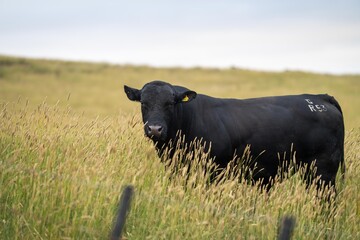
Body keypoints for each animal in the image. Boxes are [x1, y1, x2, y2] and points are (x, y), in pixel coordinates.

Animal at [124, 80, 346, 193]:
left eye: (170, 104)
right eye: (143, 103)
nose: (155, 129)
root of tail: (319, 98)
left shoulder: (213, 171)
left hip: (323, 170)